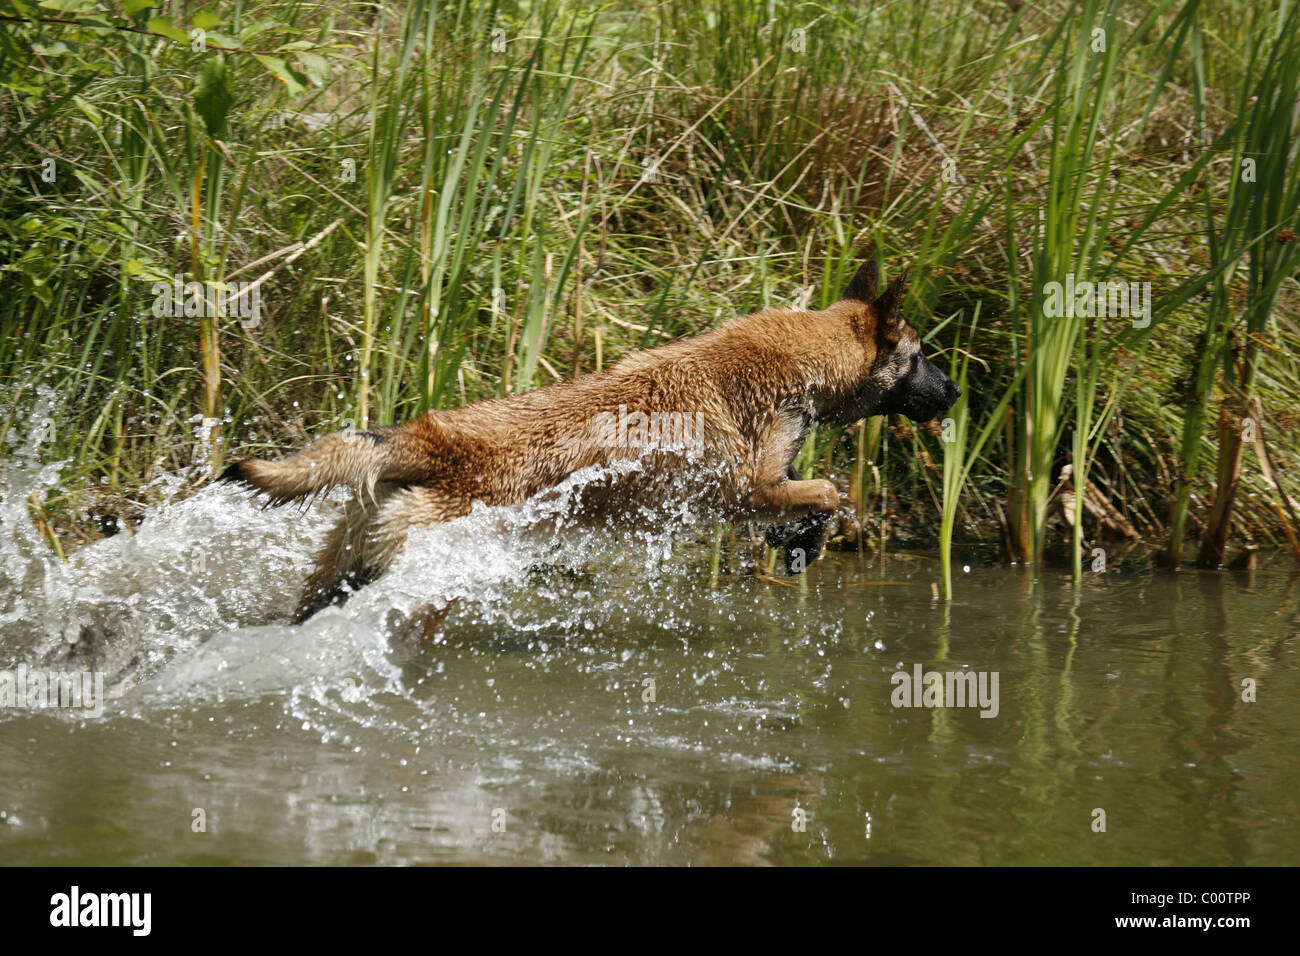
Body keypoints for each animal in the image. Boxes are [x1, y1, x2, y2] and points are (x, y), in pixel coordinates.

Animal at [220, 254, 956, 624]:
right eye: (921, 356)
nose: (954, 393)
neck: (802, 363)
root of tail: (432, 440)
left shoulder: (763, 487)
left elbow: (811, 497)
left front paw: (801, 541)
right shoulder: (747, 489)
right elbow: (828, 491)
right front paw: (810, 539)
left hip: (345, 567)